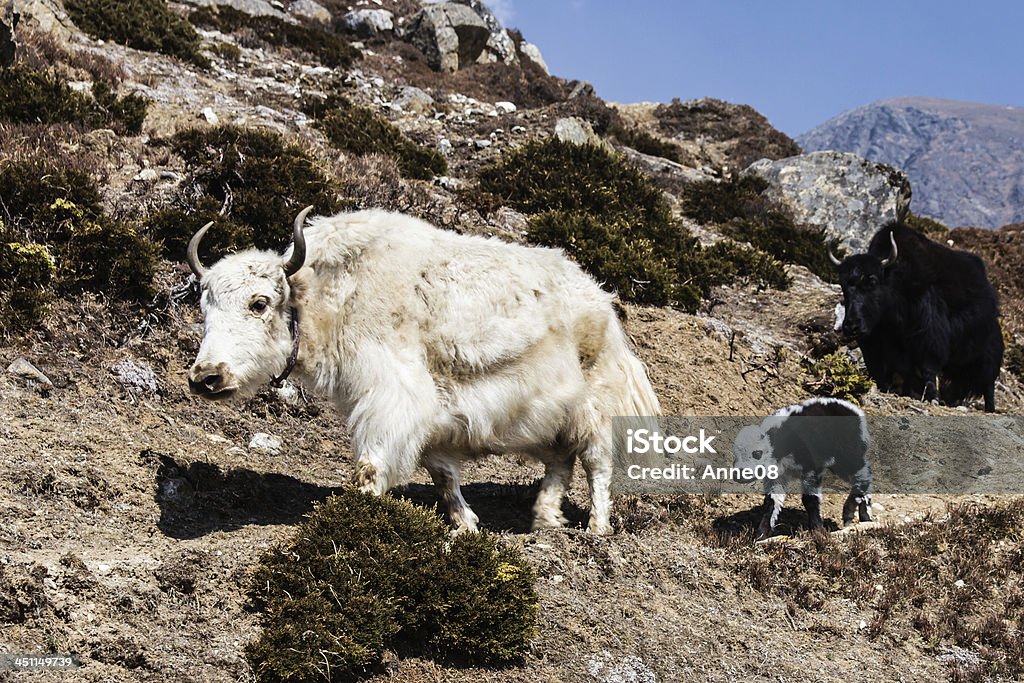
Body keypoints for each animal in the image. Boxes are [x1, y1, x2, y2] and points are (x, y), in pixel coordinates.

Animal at [737, 397, 872, 540]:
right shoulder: (776, 476)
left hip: (846, 453)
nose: (738, 474)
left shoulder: (811, 466)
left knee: (863, 473)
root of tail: (854, 410)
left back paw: (849, 513)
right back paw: (866, 518)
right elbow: (771, 502)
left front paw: (818, 531)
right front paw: (761, 535)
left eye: (757, 453)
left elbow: (810, 499)